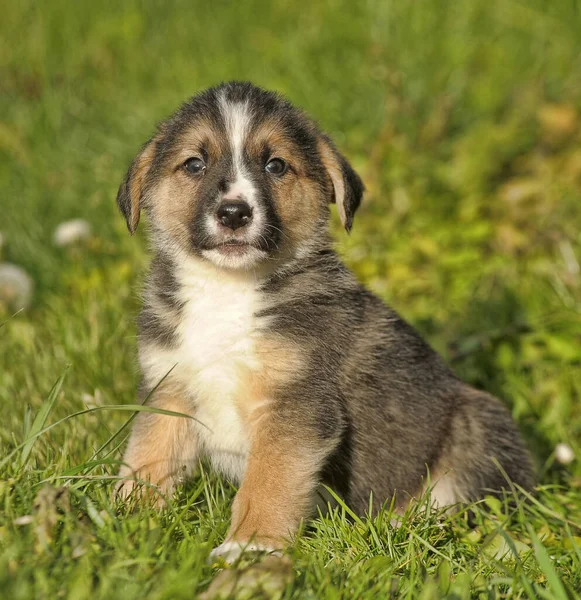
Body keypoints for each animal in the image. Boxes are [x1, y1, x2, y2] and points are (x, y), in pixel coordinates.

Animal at [114, 82, 536, 560]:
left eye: (276, 165)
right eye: (194, 164)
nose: (234, 213)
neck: (228, 290)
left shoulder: (295, 405)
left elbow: (268, 483)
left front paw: (249, 546)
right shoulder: (169, 391)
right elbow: (146, 459)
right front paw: (122, 523)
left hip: (479, 424)